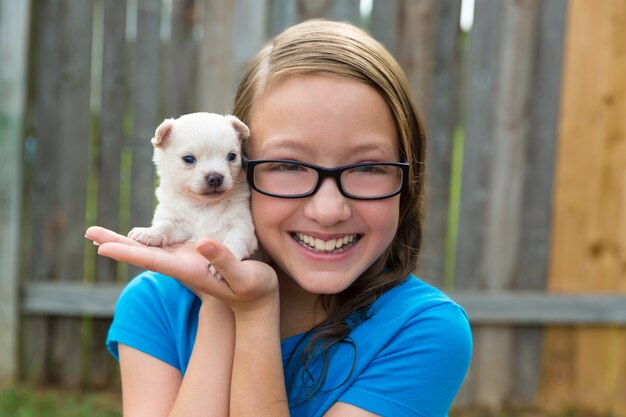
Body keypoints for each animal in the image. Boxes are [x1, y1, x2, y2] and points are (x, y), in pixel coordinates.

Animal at [128, 110, 258, 260]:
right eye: (188, 159)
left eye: (232, 156)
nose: (215, 178)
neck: (204, 206)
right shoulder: (179, 225)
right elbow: (165, 224)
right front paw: (150, 233)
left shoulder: (243, 224)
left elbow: (236, 239)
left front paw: (227, 256)